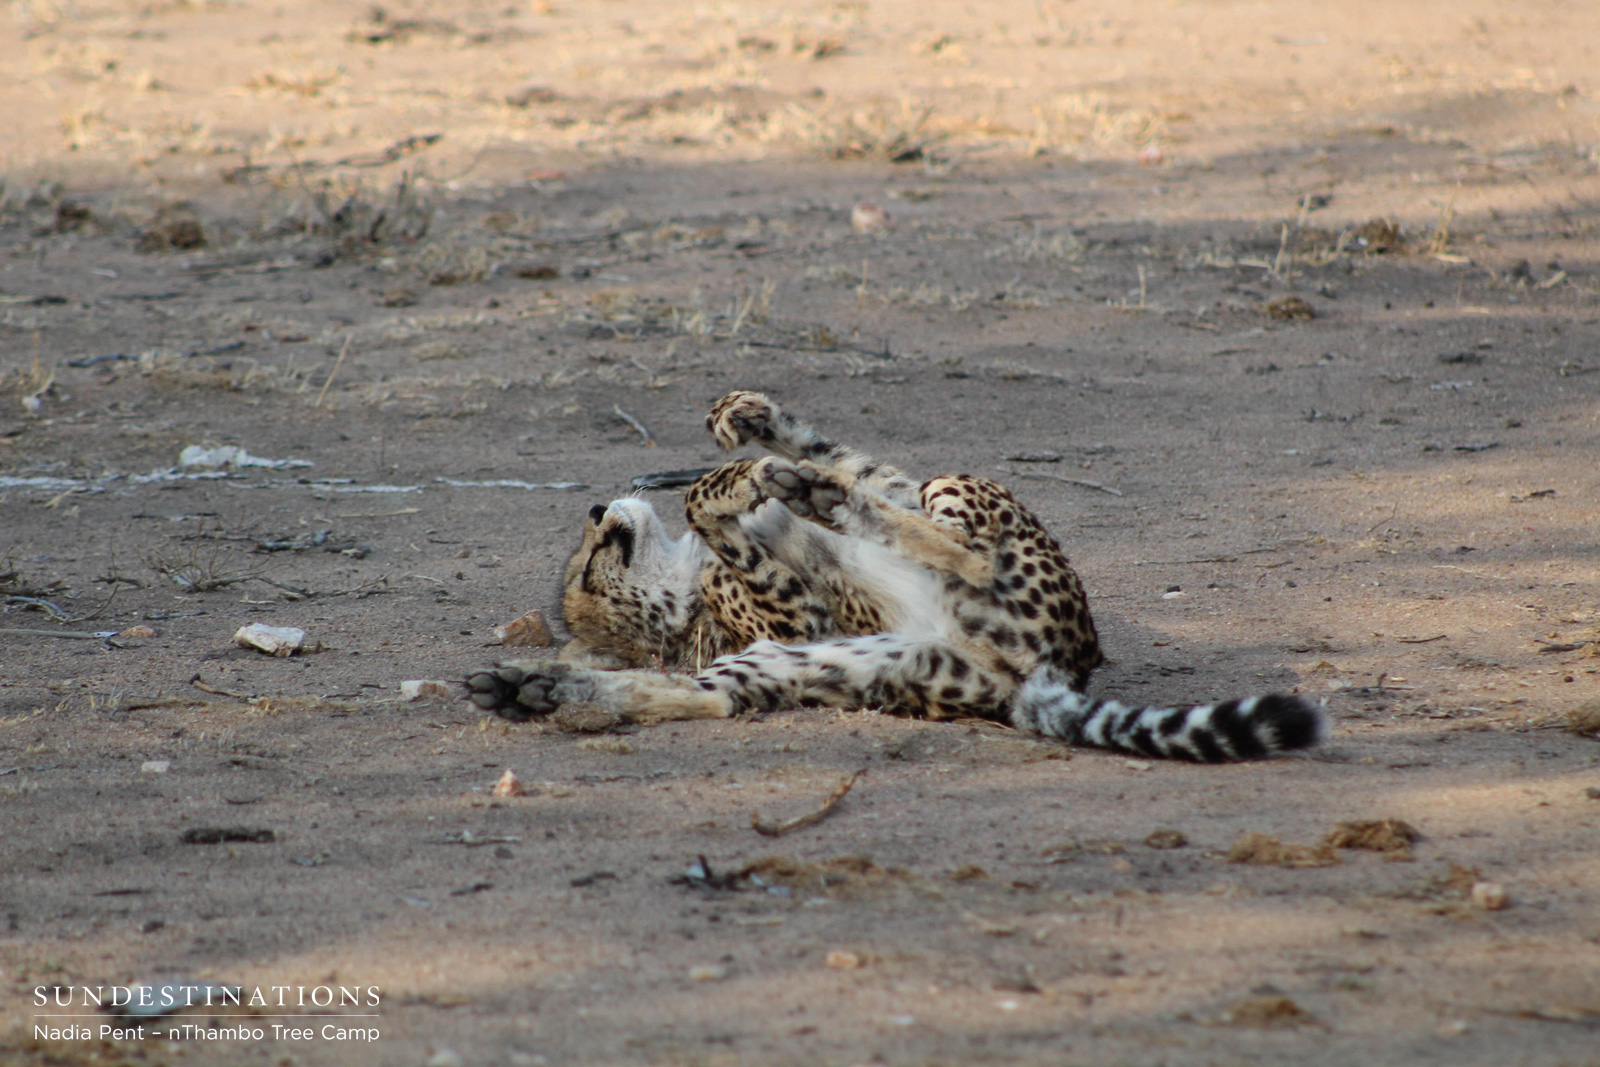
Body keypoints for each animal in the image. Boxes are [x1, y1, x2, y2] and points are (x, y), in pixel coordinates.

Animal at [465, 390, 1324, 761]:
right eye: (588, 569)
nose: (596, 510)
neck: (679, 591)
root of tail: (1049, 672)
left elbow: (841, 457)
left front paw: (748, 421)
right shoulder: (796, 622)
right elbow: (715, 507)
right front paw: (739, 481)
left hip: (935, 521)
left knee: (898, 507)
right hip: (826, 658)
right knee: (713, 696)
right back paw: (542, 690)